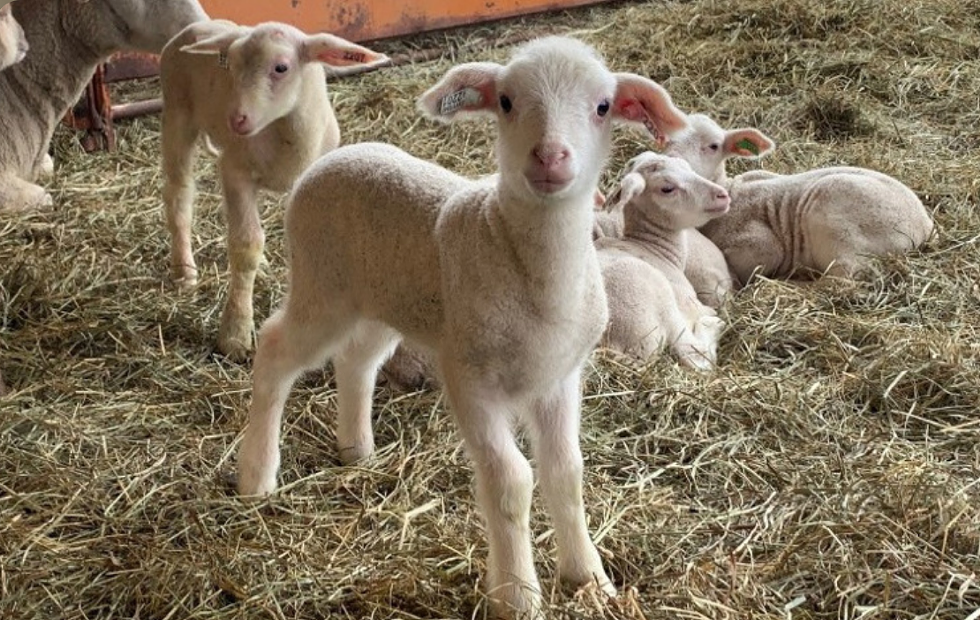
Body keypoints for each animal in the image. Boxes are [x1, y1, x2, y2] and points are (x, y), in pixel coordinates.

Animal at [160, 20, 389, 360]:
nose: (237, 120)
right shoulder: (235, 172)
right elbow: (245, 245)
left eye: (281, 68)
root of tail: (196, 26)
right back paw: (184, 270)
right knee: (179, 194)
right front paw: (236, 334)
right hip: (176, 113)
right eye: (231, 65)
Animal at [235, 36, 690, 617]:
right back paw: (257, 476)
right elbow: (512, 480)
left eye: (604, 106)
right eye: (507, 102)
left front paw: (588, 578)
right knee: (275, 350)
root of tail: (332, 157)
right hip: (322, 286)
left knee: (357, 360)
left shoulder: (560, 377)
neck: (533, 276)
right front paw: (517, 595)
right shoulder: (469, 378)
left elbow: (567, 472)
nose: (550, 157)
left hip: (386, 300)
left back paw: (357, 450)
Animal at [596, 152, 730, 369]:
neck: (653, 248)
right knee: (694, 355)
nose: (723, 195)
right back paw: (714, 324)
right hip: (654, 300)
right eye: (667, 189)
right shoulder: (685, 302)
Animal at [667, 113, 934, 282]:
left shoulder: (759, 246)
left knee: (844, 279)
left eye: (713, 146)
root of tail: (925, 224)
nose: (673, 160)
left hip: (839, 221)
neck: (730, 191)